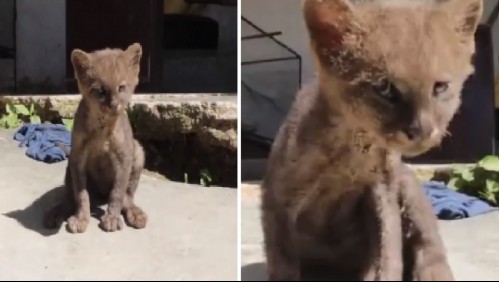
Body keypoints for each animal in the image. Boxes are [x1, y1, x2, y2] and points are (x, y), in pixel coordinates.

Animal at [43, 42, 146, 234]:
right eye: (100, 91)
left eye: (122, 88)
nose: (114, 104)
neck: (102, 129)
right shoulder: (78, 158)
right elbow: (81, 195)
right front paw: (81, 219)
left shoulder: (123, 159)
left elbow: (117, 192)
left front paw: (112, 218)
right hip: (69, 167)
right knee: (69, 197)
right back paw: (55, 213)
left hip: (138, 152)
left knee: (127, 196)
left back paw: (135, 214)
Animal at [264, 0, 482, 280]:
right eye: (385, 88)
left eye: (440, 87)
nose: (421, 130)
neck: (353, 154)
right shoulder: (280, 196)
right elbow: (283, 262)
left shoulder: (382, 189)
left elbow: (387, 253)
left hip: (407, 184)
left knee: (428, 241)